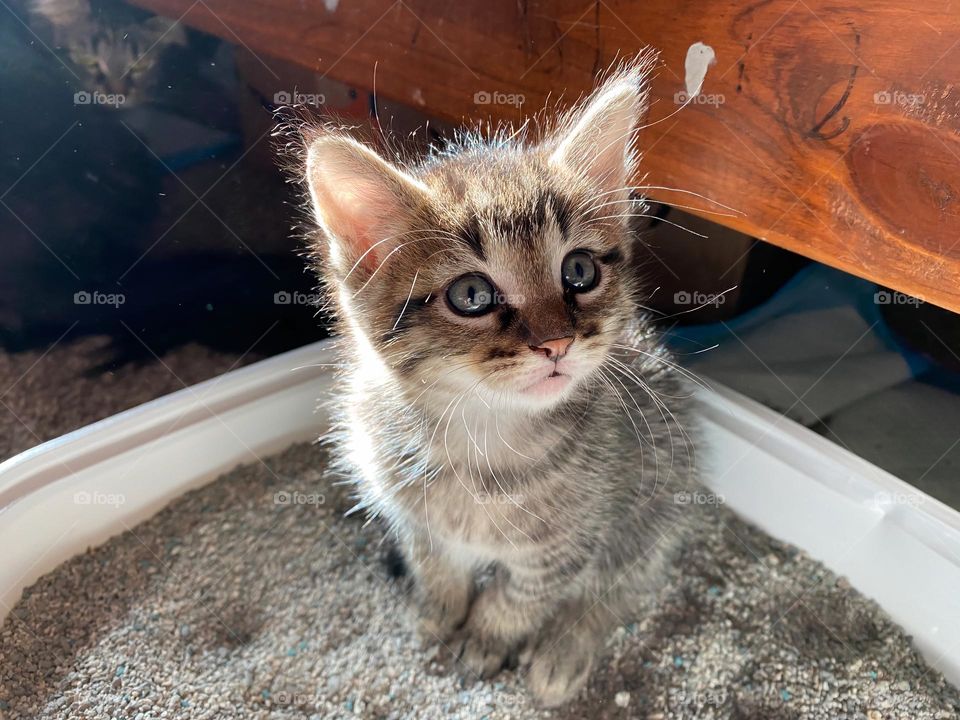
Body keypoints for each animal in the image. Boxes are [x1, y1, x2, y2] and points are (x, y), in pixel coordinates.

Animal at [302, 53, 704, 704]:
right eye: (471, 295)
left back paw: (564, 649)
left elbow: (525, 593)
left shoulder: (572, 541)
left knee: (622, 583)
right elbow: (435, 565)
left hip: (659, 498)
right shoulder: (412, 517)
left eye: (579, 270)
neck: (481, 437)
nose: (557, 342)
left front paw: (489, 637)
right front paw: (438, 611)